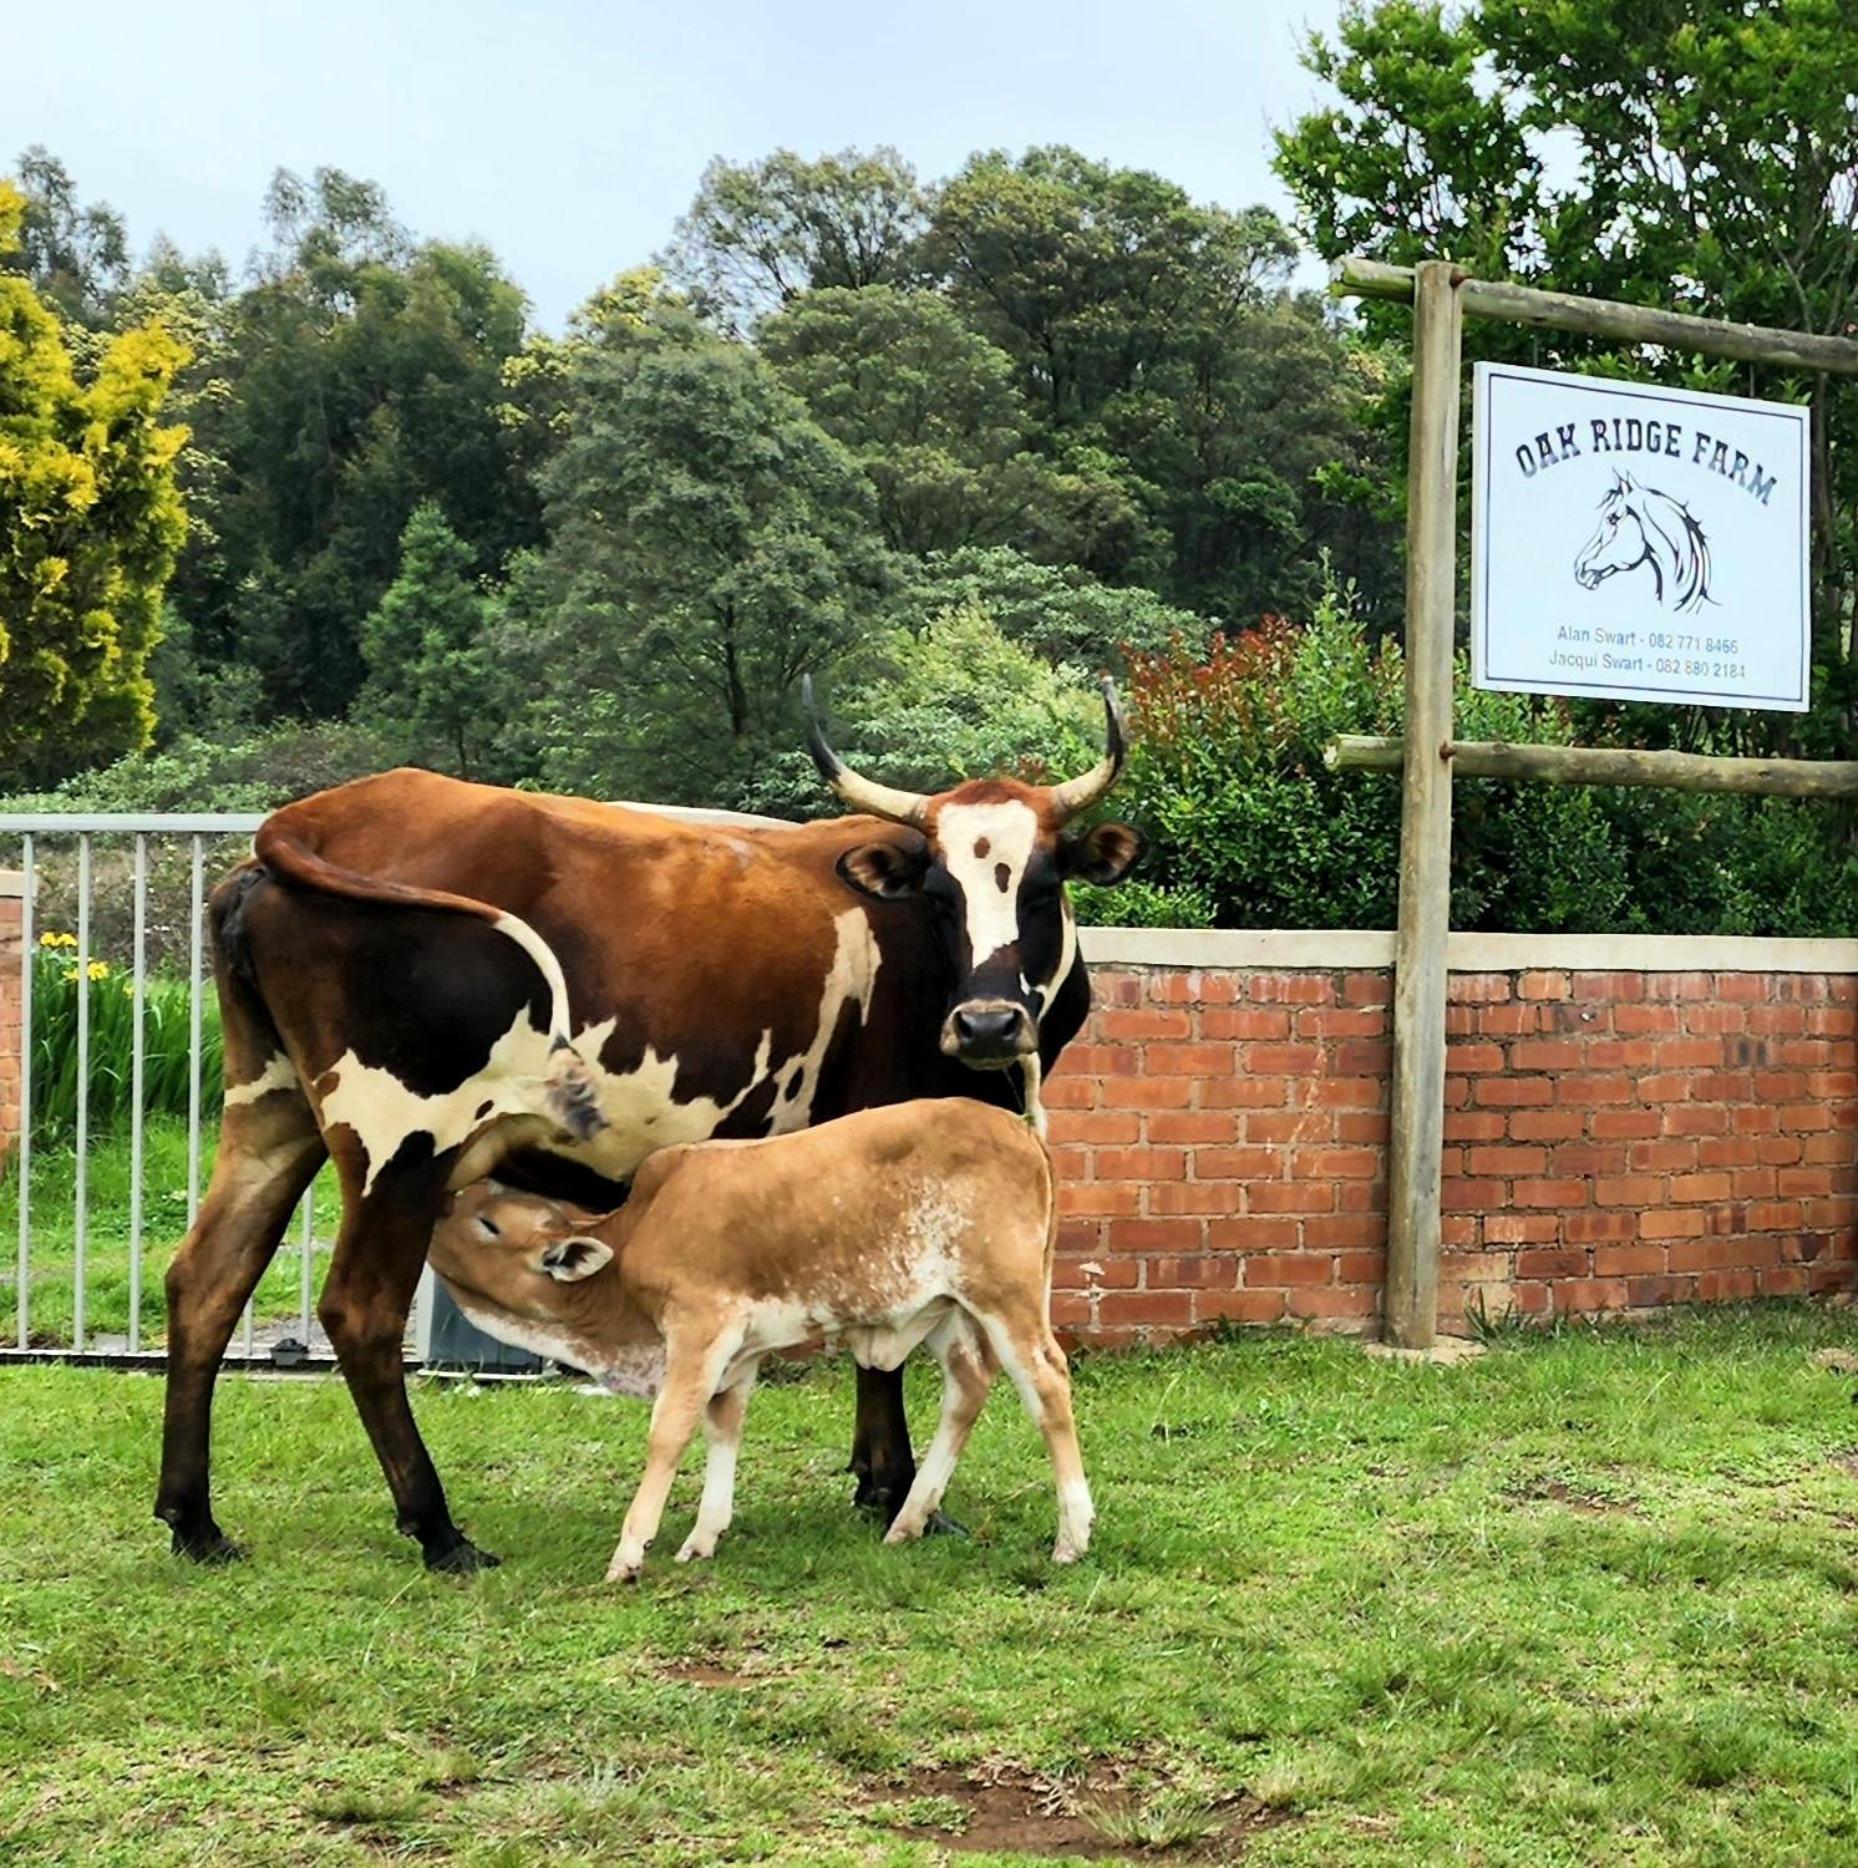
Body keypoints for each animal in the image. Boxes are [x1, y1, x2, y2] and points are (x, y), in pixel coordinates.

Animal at [425, 1098, 1090, 1584]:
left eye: (488, 1225)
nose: (437, 1209)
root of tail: (1018, 1128)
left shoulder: (699, 1328)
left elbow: (669, 1431)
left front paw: (629, 1552)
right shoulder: (737, 1354)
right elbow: (724, 1427)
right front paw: (702, 1537)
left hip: (1004, 1296)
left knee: (1047, 1383)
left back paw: (1072, 1534)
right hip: (949, 1309)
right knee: (968, 1389)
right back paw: (908, 1520)